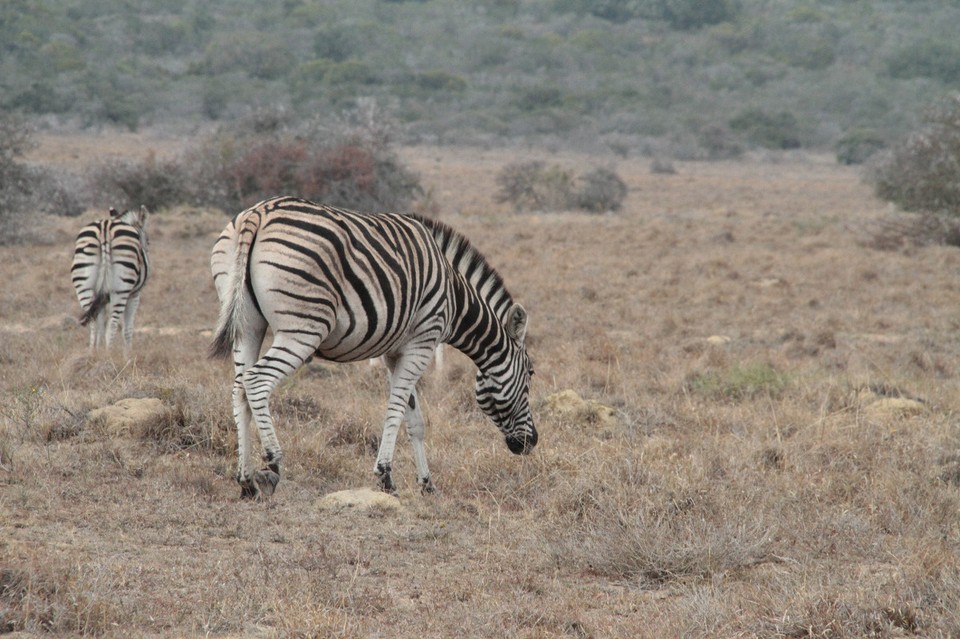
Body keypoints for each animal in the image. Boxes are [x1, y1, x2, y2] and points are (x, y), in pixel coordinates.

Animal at [71, 206, 151, 352]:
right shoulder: (134, 295)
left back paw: (92, 353)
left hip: (84, 285)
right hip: (120, 289)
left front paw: (98, 350)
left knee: (93, 323)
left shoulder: (101, 297)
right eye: (147, 241)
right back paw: (109, 354)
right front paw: (128, 355)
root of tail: (105, 228)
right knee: (112, 325)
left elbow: (101, 326)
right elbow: (127, 330)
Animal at [210, 195, 536, 500]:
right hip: (303, 327)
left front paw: (427, 484)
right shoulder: (422, 342)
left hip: (249, 326)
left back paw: (246, 481)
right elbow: (396, 409)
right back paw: (273, 464)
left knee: (239, 389)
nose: (532, 442)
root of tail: (257, 213)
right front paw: (386, 477)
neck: (454, 297)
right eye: (531, 374)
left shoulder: (395, 352)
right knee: (257, 381)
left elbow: (415, 420)